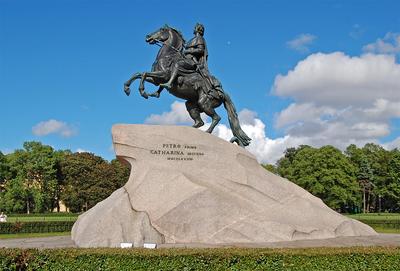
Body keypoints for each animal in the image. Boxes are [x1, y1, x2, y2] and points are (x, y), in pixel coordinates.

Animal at [123, 26, 252, 147]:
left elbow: (144, 74)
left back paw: (207, 132)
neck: (167, 56)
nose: (148, 37)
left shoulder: (163, 75)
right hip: (191, 104)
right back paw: (189, 130)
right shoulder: (156, 79)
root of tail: (223, 93)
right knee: (199, 122)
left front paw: (143, 92)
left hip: (204, 103)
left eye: (161, 30)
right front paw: (127, 88)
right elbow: (138, 74)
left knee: (216, 118)